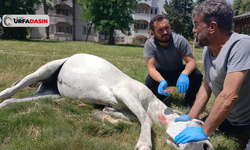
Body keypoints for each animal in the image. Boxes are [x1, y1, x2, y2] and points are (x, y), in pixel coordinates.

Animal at [0, 53, 213, 149]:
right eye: (198, 125)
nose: (207, 146)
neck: (151, 102)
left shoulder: (126, 104)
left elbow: (132, 116)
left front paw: (110, 113)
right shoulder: (126, 93)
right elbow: (145, 118)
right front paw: (144, 143)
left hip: (50, 94)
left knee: (16, 101)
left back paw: (4, 106)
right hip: (44, 70)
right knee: (12, 90)